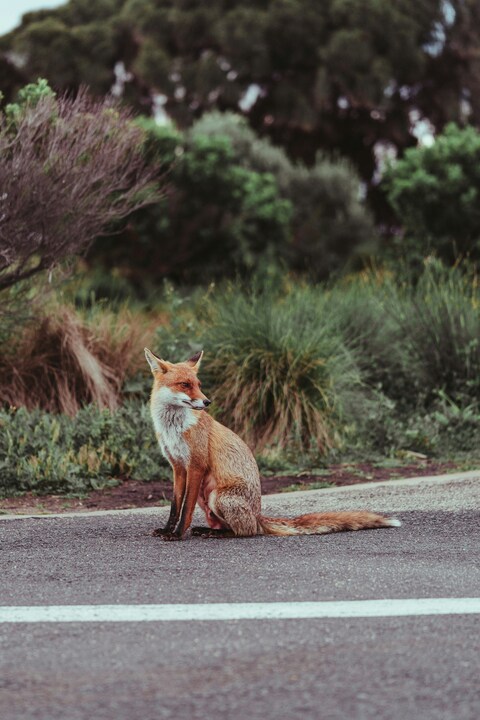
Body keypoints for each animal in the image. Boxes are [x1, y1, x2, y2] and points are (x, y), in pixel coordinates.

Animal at [144, 347, 401, 541]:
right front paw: (168, 530)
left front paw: (177, 535)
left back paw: (217, 533)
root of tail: (259, 516)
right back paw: (205, 529)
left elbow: (185, 508)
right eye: (185, 385)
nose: (207, 401)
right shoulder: (178, 467)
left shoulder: (196, 465)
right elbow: (175, 505)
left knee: (245, 531)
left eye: (198, 384)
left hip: (218, 497)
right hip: (207, 500)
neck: (173, 429)